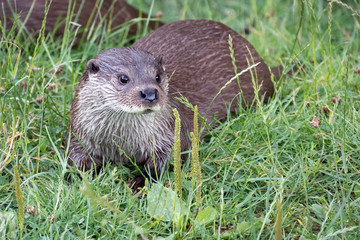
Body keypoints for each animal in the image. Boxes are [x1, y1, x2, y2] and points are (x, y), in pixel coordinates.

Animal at [66, 19, 282, 190]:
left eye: (158, 76)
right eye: (123, 78)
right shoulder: (79, 134)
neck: (122, 142)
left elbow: (171, 157)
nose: (150, 93)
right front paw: (73, 178)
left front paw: (141, 181)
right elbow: (75, 158)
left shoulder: (171, 130)